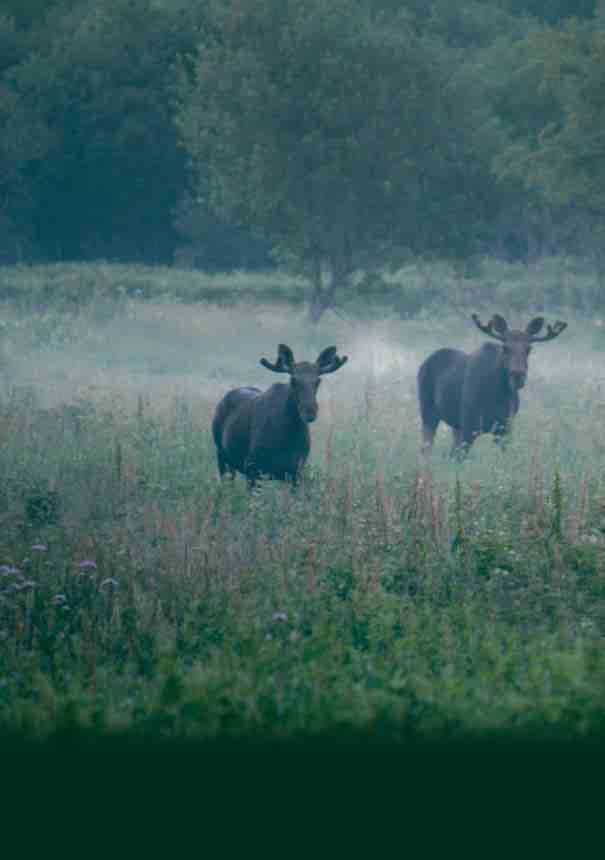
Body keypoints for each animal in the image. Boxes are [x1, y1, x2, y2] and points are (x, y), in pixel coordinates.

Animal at [211, 346, 346, 488]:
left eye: (318, 381)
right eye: (293, 380)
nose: (310, 411)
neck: (288, 436)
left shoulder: (296, 470)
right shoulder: (252, 466)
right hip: (220, 453)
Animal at [416, 314, 568, 460]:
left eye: (528, 349)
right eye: (505, 348)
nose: (518, 375)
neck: (499, 394)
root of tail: (424, 362)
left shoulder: (505, 428)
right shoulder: (469, 426)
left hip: (456, 425)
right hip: (429, 412)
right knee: (427, 448)